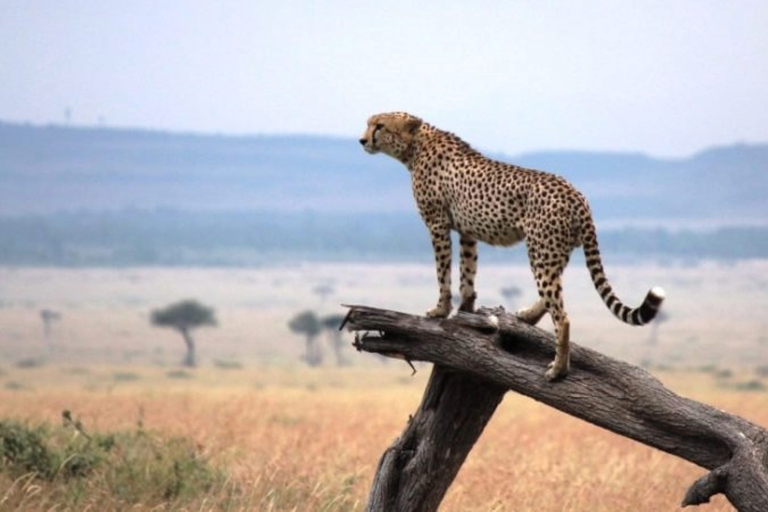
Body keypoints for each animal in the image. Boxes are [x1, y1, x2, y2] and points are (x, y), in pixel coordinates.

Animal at [356, 112, 664, 380]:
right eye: (369, 123)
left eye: (379, 125)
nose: (362, 139)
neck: (416, 145)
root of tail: (577, 195)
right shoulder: (467, 232)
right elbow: (468, 273)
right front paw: (466, 309)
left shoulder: (438, 225)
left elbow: (443, 273)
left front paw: (440, 310)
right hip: (553, 251)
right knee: (553, 296)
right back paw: (528, 316)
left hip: (541, 251)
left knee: (562, 316)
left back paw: (558, 370)